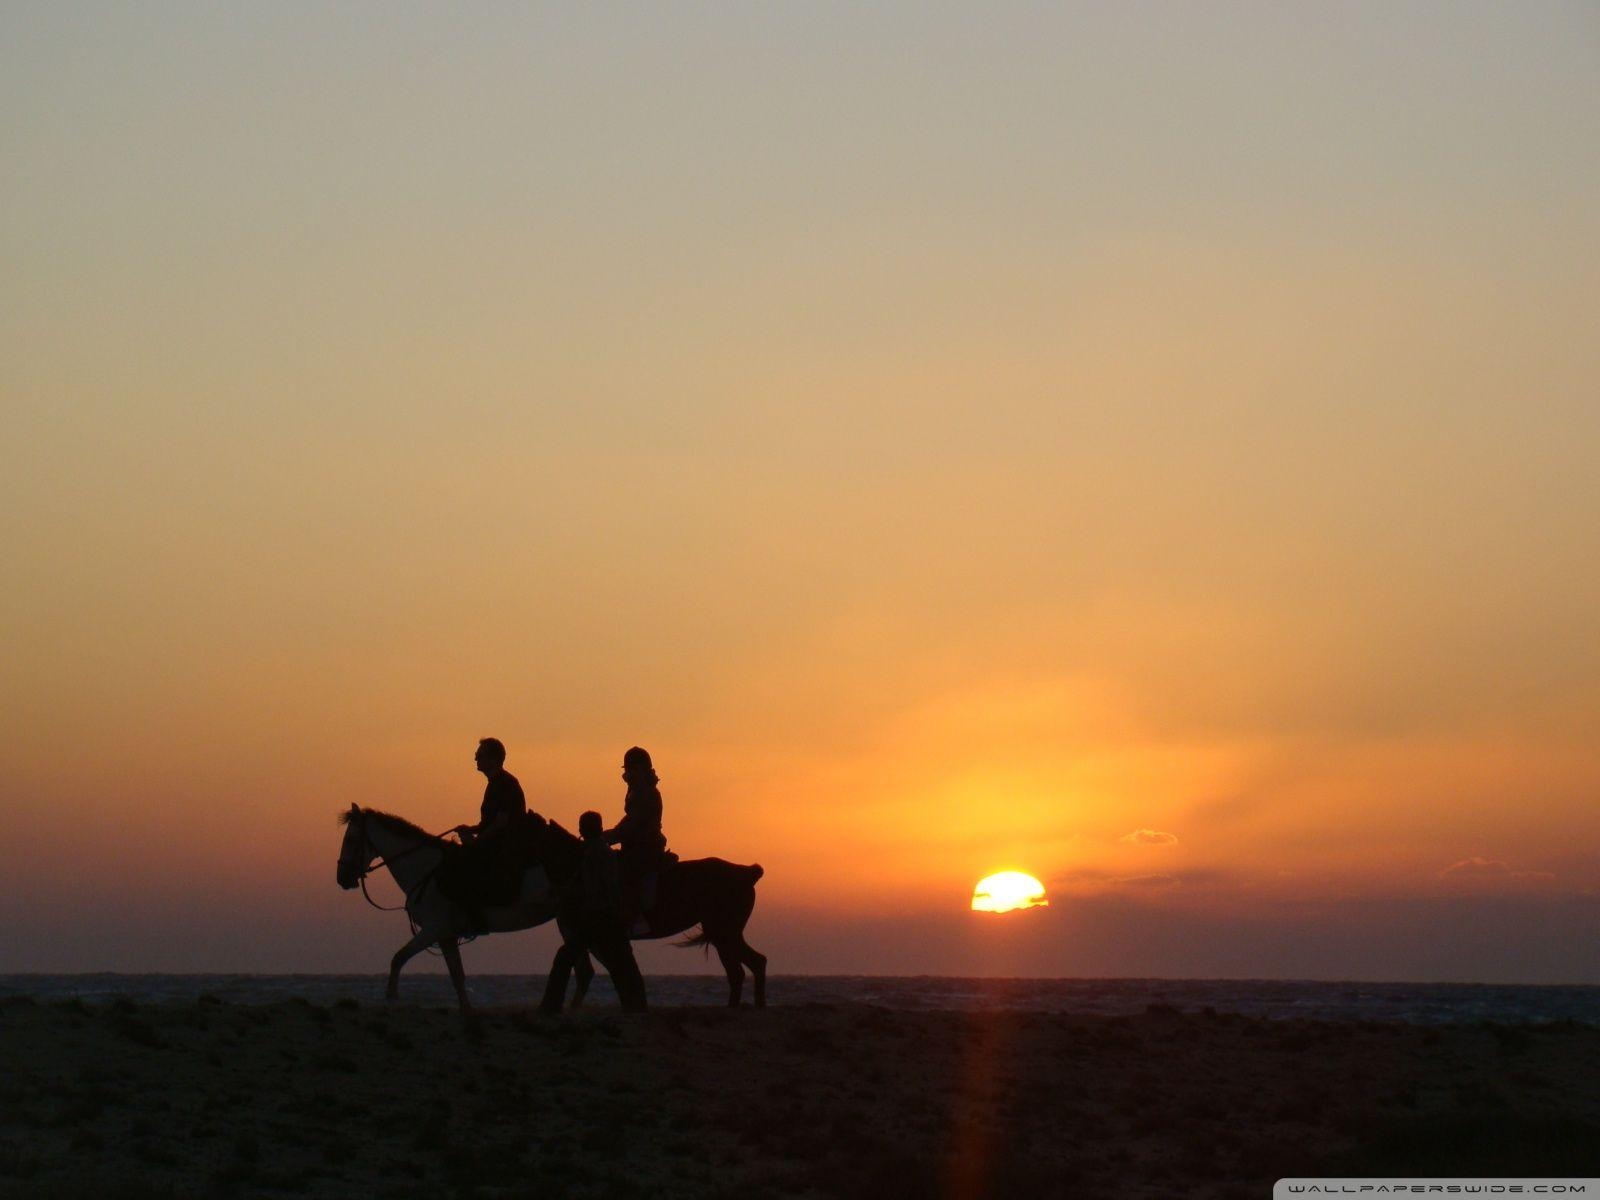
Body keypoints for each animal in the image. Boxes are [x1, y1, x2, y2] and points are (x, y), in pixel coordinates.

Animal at [332, 803, 595, 1011]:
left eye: (351, 839)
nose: (343, 878)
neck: (426, 869)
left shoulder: (433, 929)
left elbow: (398, 958)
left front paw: (391, 997)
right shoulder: (446, 935)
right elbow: (457, 975)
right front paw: (466, 1010)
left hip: (572, 921)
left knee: (584, 971)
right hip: (569, 922)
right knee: (584, 972)